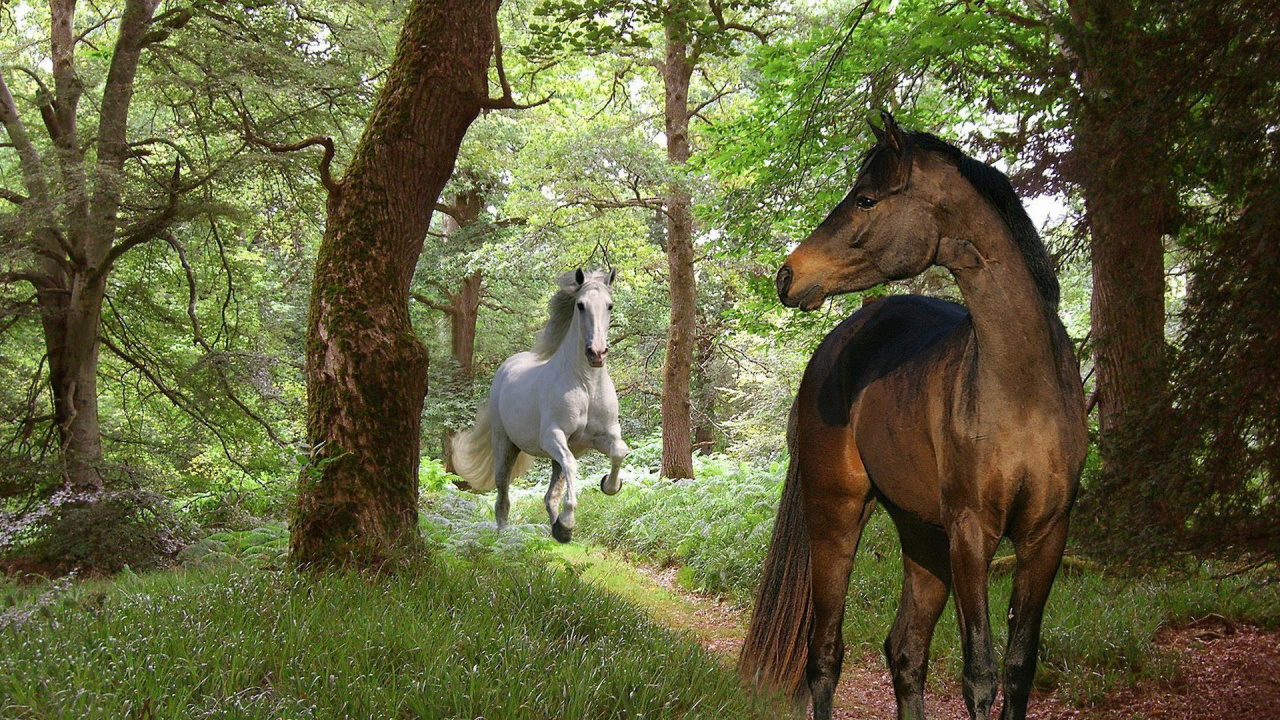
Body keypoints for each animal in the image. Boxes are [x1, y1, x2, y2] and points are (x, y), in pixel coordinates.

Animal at [451, 268, 629, 543]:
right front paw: (567, 523)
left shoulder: (600, 436)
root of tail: (506, 367)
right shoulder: (552, 436)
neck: (586, 385)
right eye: (580, 305)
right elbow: (572, 465)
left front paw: (609, 486)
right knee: (503, 495)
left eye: (610, 305)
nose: (597, 353)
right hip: (505, 445)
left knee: (550, 494)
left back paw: (556, 528)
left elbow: (619, 451)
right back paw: (504, 539)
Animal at [739, 113, 1087, 720]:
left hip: (922, 533)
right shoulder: (972, 533)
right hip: (836, 518)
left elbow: (1018, 668)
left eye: (866, 198)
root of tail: (835, 347)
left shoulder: (1046, 536)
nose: (787, 275)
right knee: (824, 653)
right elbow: (980, 675)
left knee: (905, 651)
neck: (1024, 390)